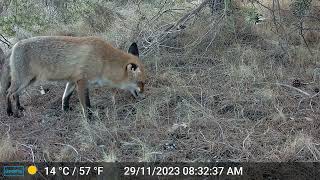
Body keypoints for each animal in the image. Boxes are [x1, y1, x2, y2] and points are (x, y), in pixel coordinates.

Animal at [5, 36, 146, 118]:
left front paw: (65, 110)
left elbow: (65, 97)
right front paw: (89, 119)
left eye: (145, 82)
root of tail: (14, 46)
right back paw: (11, 112)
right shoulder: (82, 81)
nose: (144, 97)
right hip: (23, 81)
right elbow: (86, 105)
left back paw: (19, 107)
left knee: (15, 94)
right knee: (8, 93)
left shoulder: (72, 80)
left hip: (29, 81)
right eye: (141, 83)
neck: (103, 60)